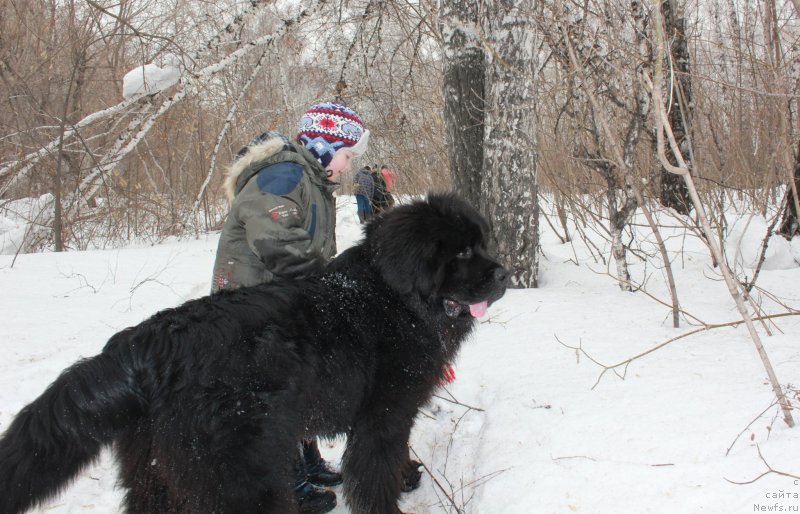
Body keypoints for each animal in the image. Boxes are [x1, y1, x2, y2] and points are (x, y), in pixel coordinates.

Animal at [1, 193, 506, 512]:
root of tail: (145, 341)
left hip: (156, 472)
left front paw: (408, 477)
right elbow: (375, 473)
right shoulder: (383, 415)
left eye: (483, 242)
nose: (503, 274)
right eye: (462, 253)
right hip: (243, 471)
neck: (394, 297)